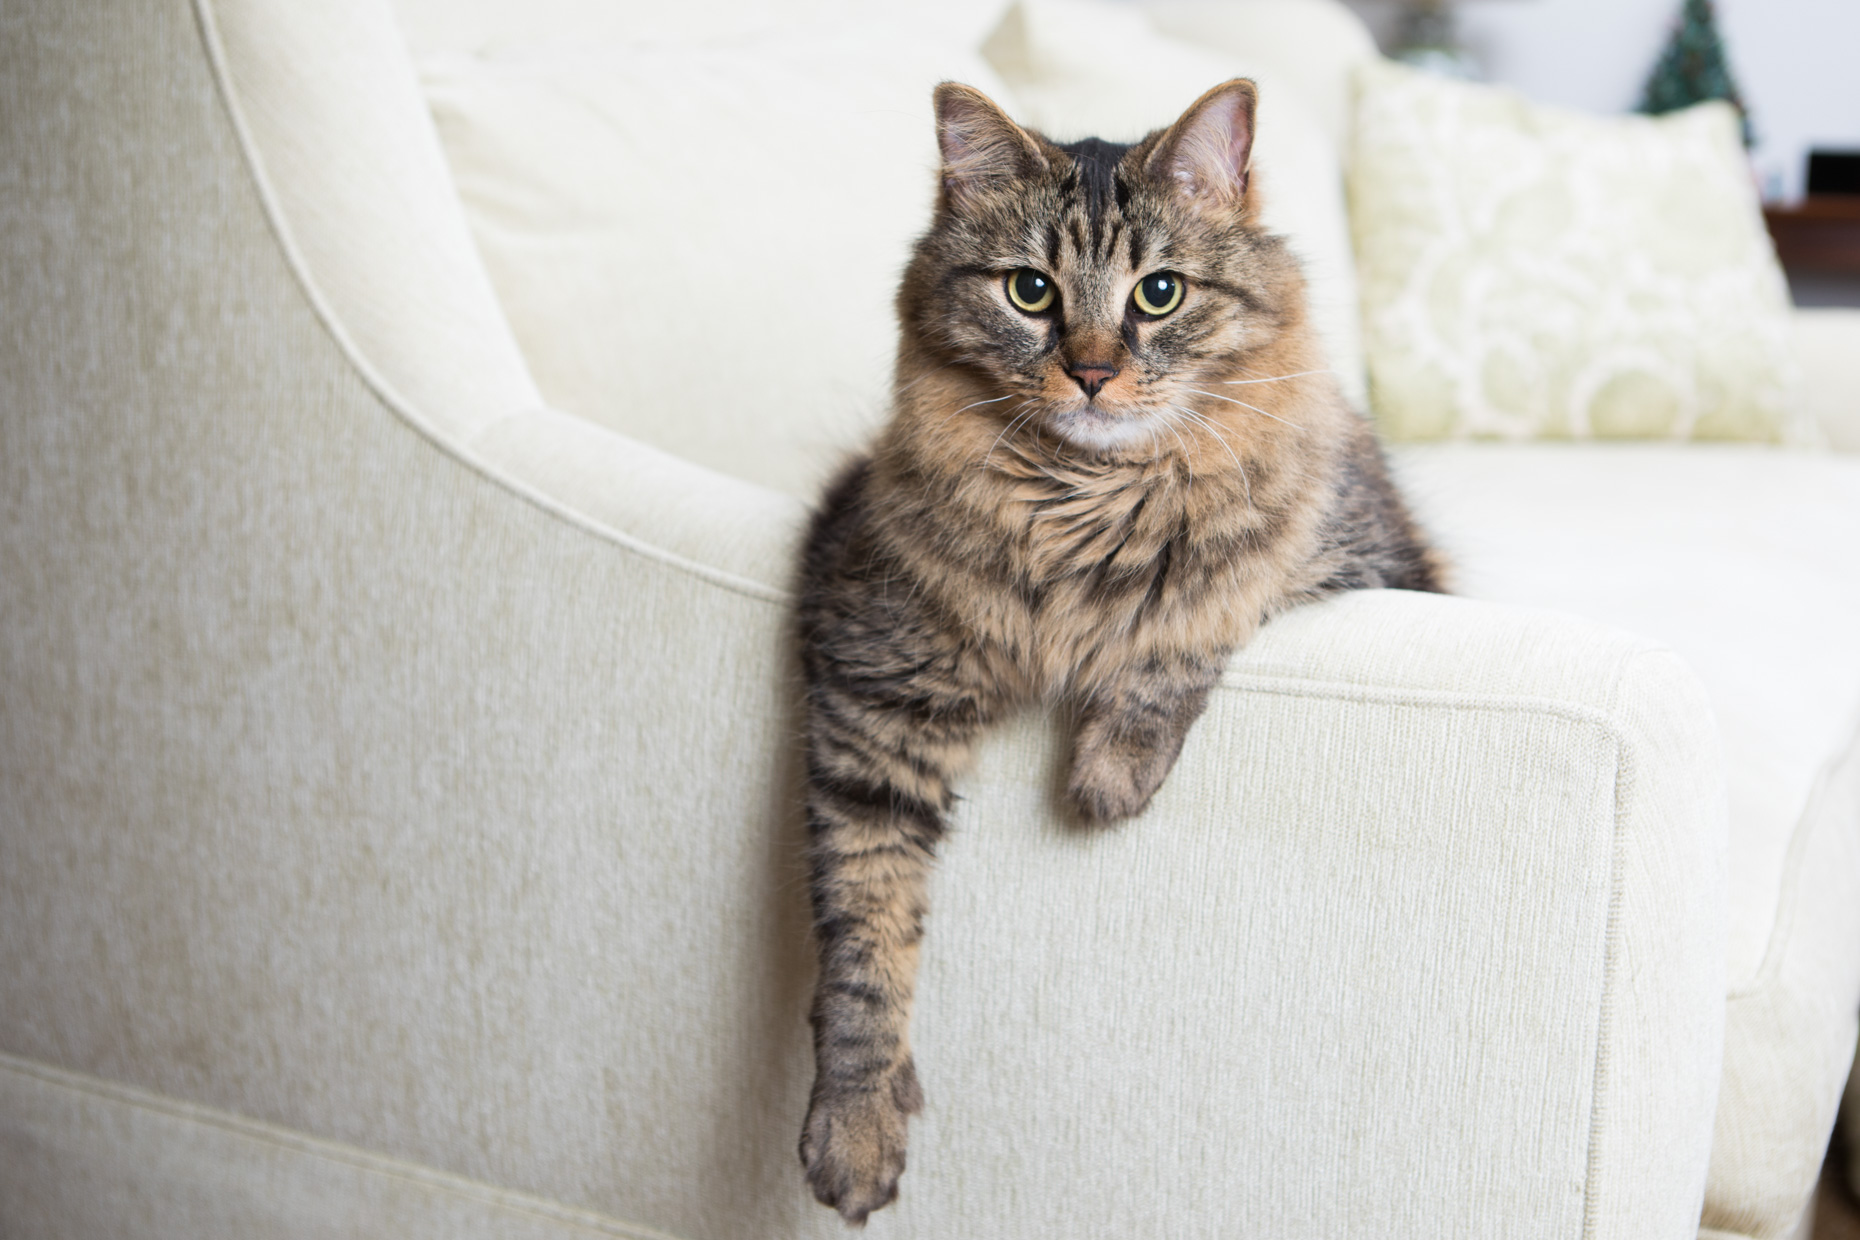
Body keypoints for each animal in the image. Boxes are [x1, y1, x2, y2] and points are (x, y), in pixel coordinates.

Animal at [792, 79, 1443, 1234]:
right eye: (1030, 290)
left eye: (1161, 293)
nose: (1092, 373)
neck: (1079, 507)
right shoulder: (872, 682)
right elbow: (864, 939)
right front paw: (857, 1126)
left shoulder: (1339, 551)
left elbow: (1196, 607)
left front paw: (1107, 774)